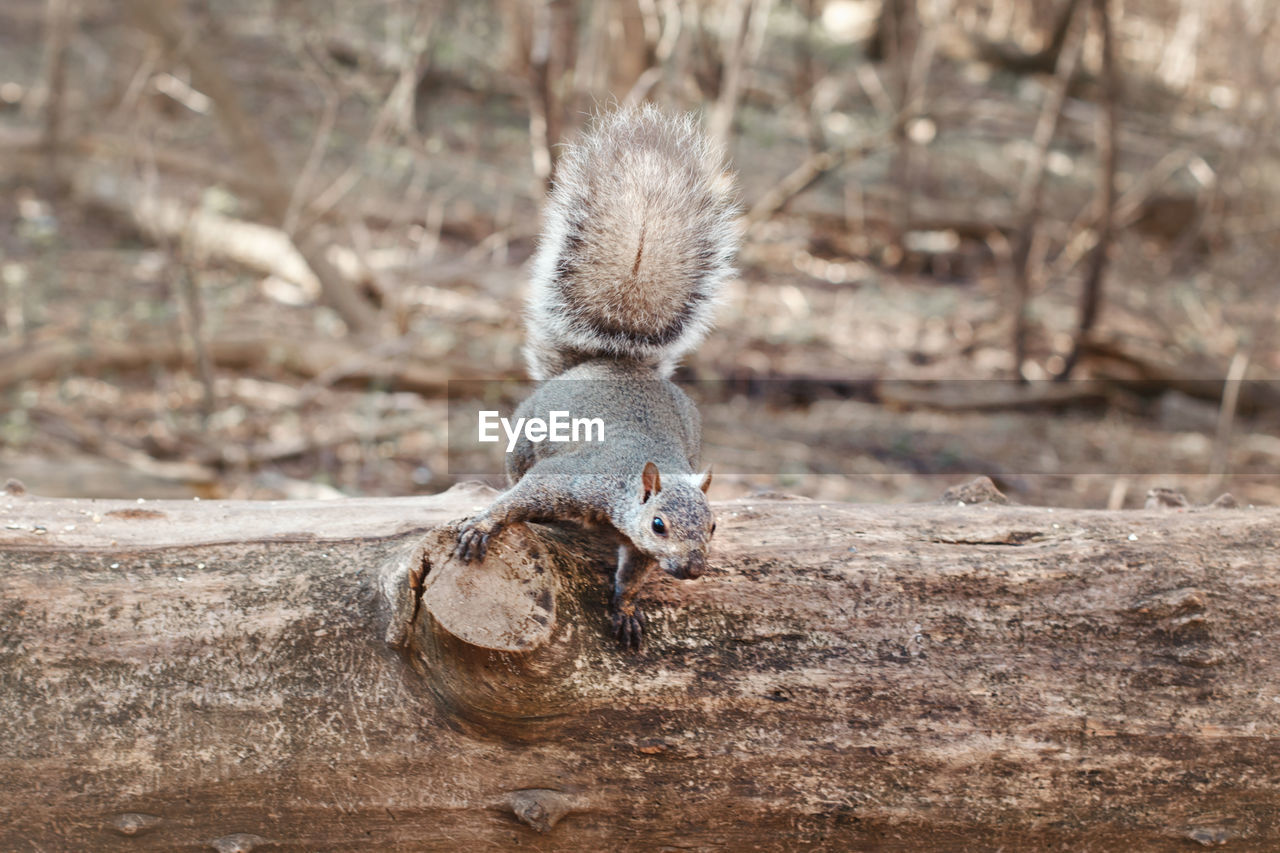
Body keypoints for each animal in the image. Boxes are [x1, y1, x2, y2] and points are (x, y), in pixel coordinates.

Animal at [458, 108, 742, 650]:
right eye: (658, 524)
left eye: (715, 525)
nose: (693, 569)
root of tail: (613, 362)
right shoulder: (571, 479)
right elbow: (520, 499)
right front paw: (484, 524)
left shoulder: (639, 549)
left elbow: (631, 575)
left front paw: (625, 608)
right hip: (523, 439)